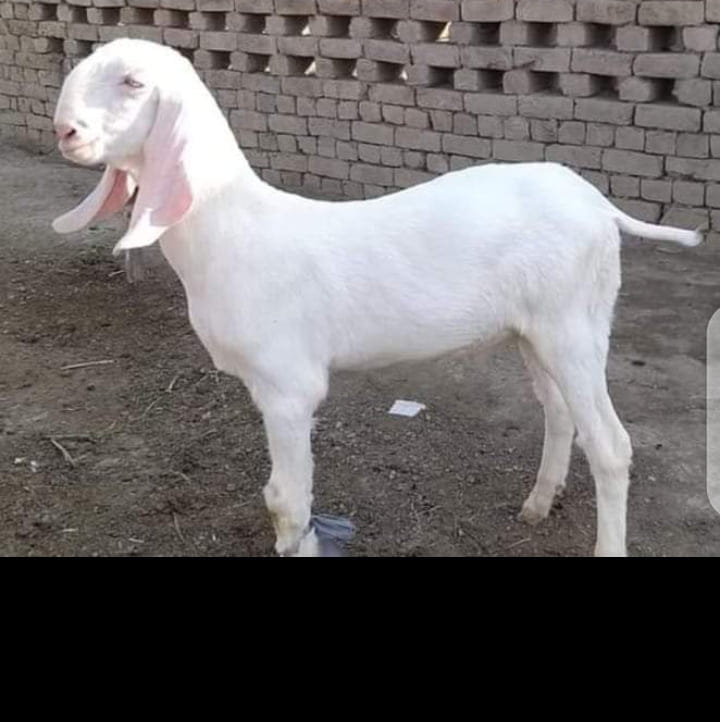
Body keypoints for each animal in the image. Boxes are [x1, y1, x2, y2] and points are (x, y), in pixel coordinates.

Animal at [51, 39, 701, 556]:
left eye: (133, 83)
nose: (66, 132)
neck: (231, 226)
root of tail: (598, 204)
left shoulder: (288, 386)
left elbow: (284, 500)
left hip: (575, 324)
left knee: (612, 445)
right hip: (537, 329)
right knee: (560, 412)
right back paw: (538, 504)